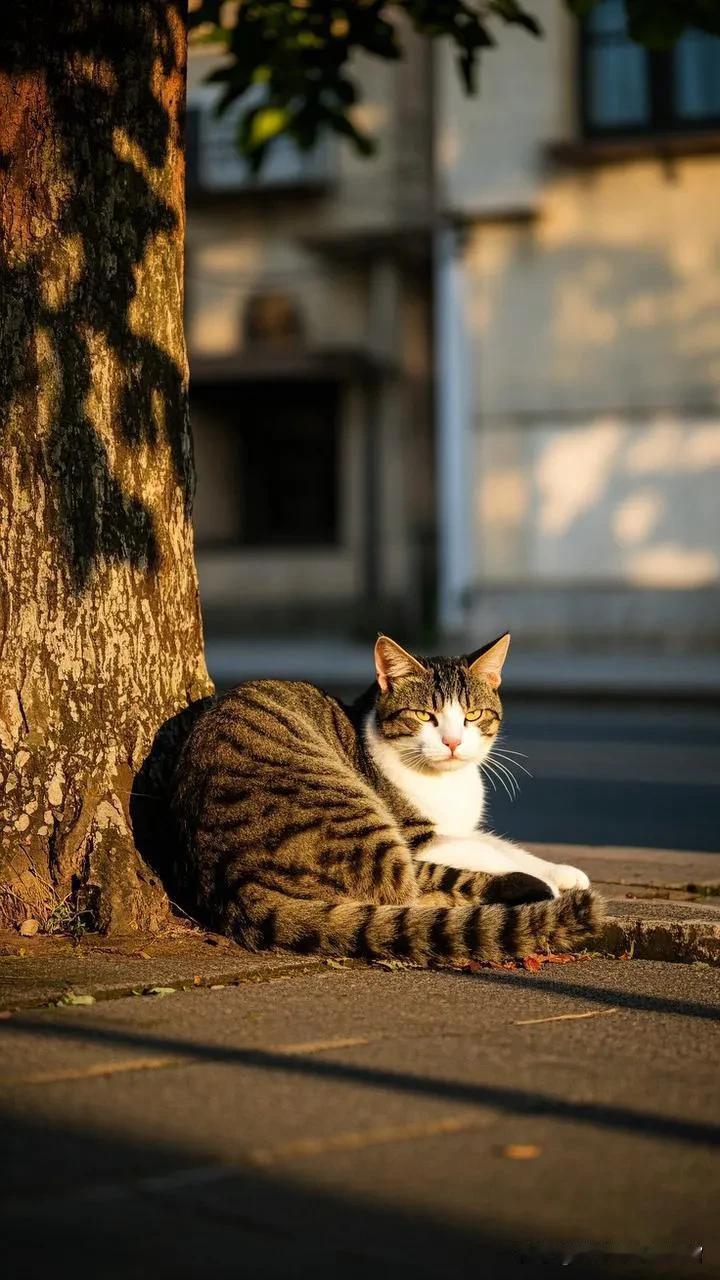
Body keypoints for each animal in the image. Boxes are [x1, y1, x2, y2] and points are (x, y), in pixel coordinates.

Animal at [169, 634, 599, 962]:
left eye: (473, 715)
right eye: (425, 716)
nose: (453, 742)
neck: (450, 784)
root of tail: (231, 881)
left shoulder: (461, 829)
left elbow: (502, 844)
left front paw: (563, 870)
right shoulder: (421, 837)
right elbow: (487, 851)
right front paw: (551, 881)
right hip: (349, 809)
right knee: (408, 891)